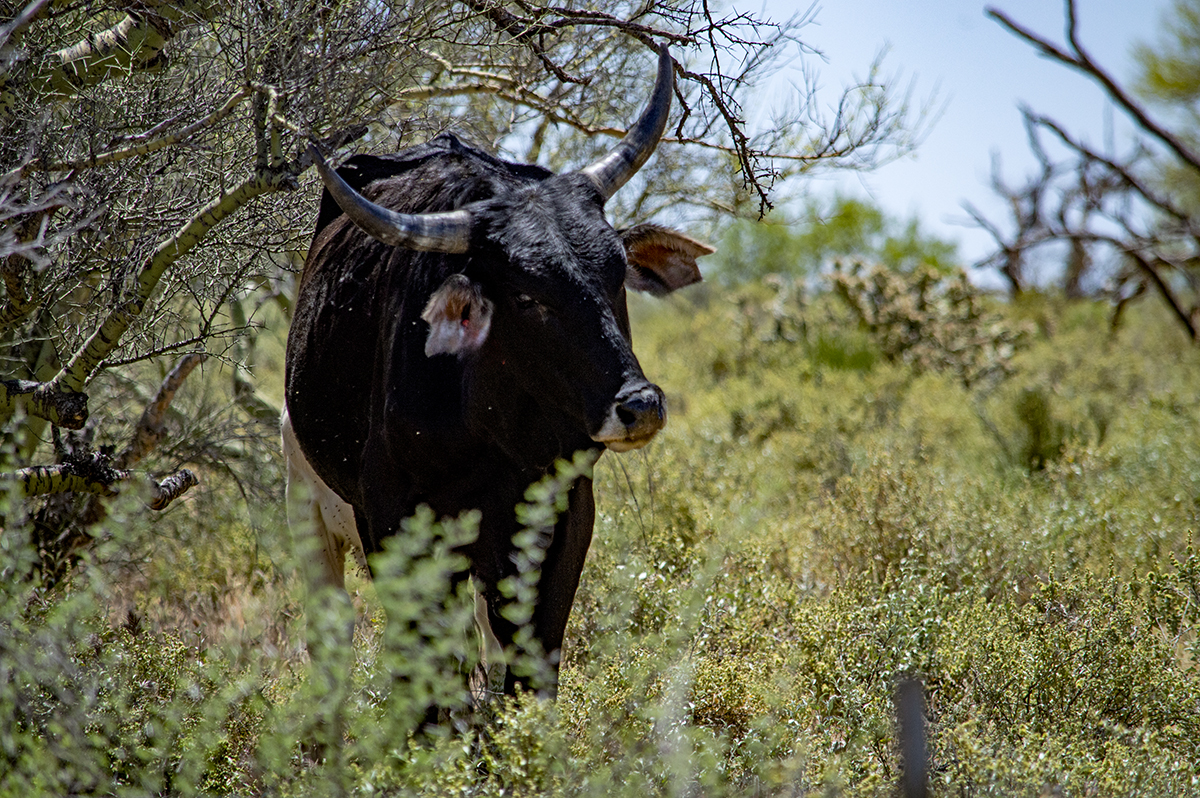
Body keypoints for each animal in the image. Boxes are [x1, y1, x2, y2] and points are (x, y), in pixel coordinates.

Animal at [283, 44, 712, 706]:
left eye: (616, 273)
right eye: (530, 295)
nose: (640, 406)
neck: (489, 429)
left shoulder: (562, 517)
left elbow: (531, 669)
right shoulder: (391, 523)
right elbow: (427, 679)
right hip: (306, 504)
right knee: (333, 638)